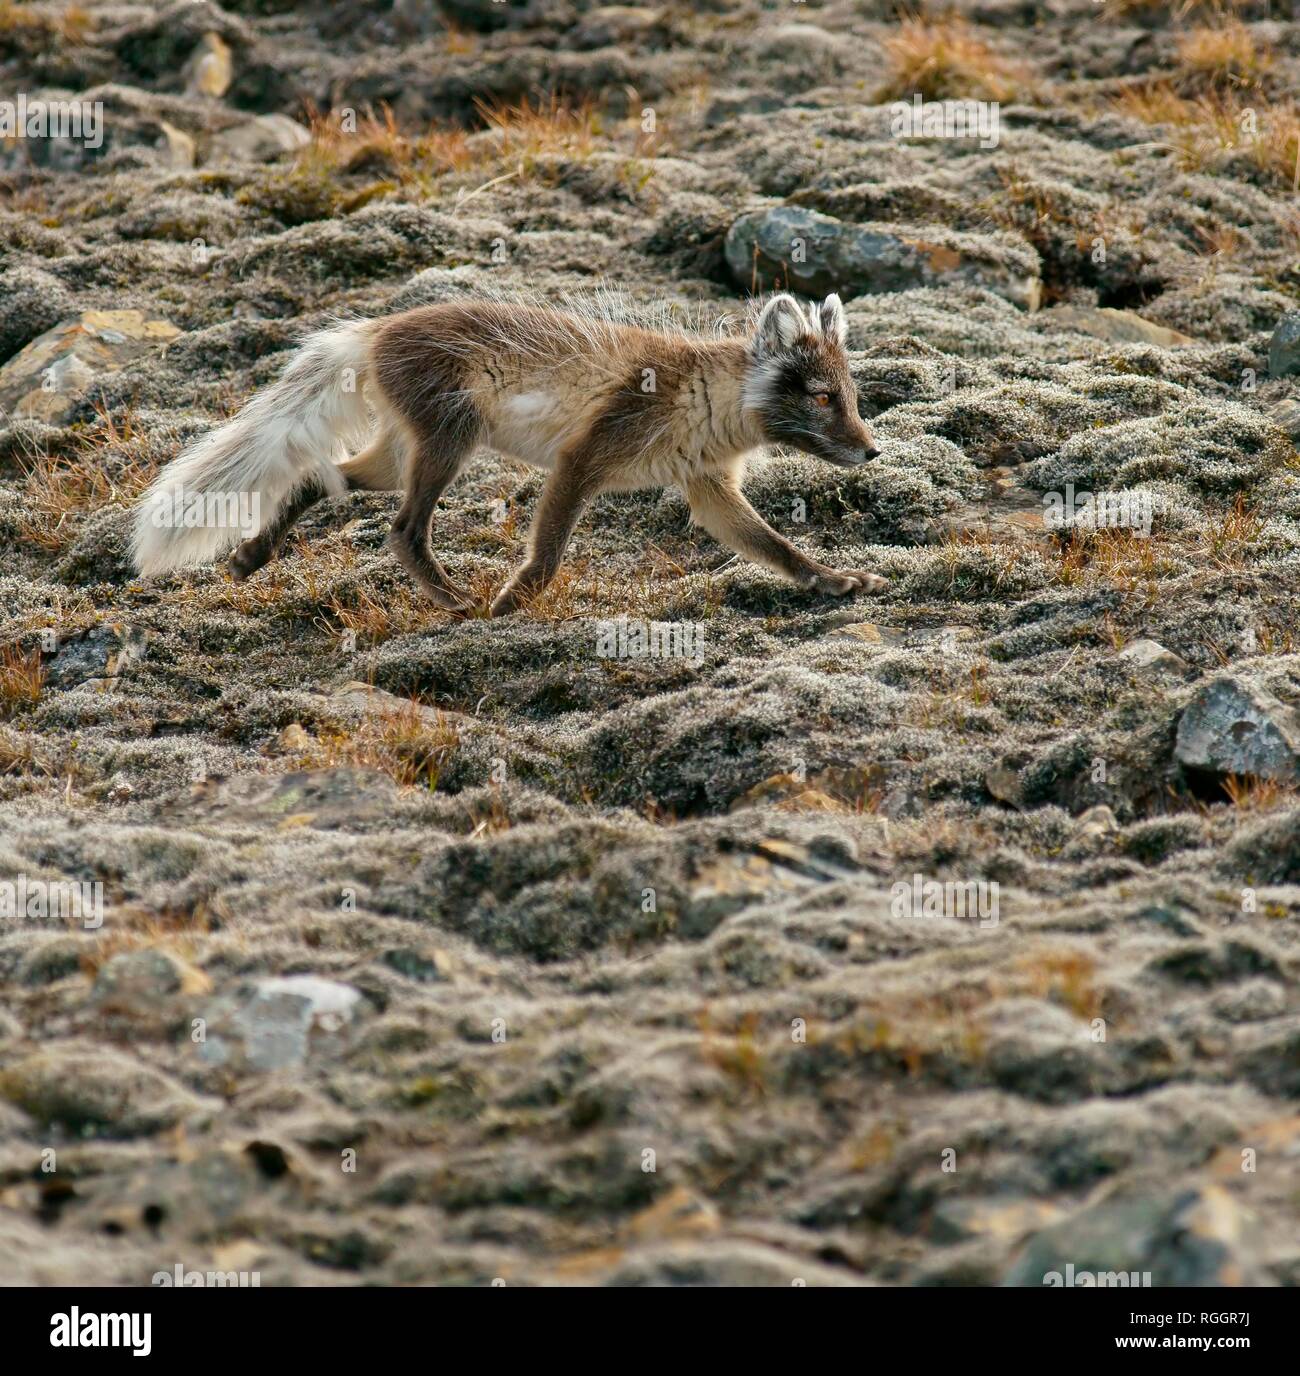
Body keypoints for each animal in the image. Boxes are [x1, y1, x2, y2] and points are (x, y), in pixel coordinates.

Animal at [134, 294, 880, 619]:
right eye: (821, 397)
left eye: (850, 396)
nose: (872, 450)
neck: (708, 398)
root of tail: (373, 328)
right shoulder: (583, 459)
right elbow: (547, 555)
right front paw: (509, 604)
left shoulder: (709, 488)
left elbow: (775, 546)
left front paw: (833, 581)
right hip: (451, 439)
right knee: (402, 530)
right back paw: (458, 602)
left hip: (398, 454)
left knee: (325, 480)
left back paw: (250, 556)